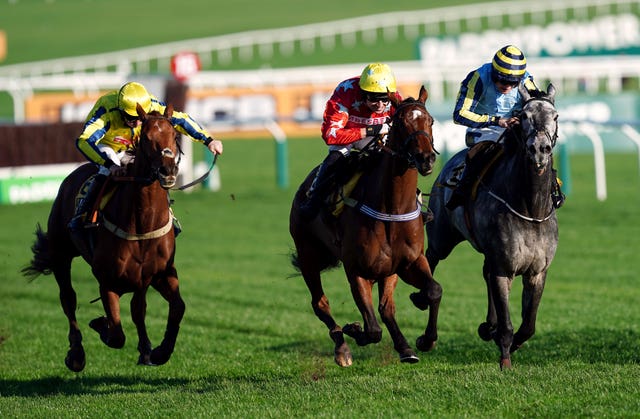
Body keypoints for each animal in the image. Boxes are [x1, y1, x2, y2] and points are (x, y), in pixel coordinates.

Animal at [22, 103, 182, 372]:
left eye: (174, 135)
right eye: (146, 138)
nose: (167, 171)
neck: (142, 224)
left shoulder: (154, 274)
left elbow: (159, 309)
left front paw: (157, 351)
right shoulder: (107, 280)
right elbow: (116, 333)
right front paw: (101, 324)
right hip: (60, 253)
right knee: (68, 299)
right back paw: (76, 354)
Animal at [288, 86, 442, 368]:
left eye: (431, 121)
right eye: (400, 123)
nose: (426, 159)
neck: (391, 209)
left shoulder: (410, 261)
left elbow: (433, 290)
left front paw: (425, 340)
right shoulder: (356, 269)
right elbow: (372, 330)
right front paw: (353, 330)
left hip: (387, 270)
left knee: (386, 308)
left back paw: (404, 347)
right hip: (308, 255)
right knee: (320, 303)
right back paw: (342, 347)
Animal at [428, 83, 556, 370]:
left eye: (555, 116)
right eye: (524, 116)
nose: (540, 149)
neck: (530, 209)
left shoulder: (537, 271)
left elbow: (528, 325)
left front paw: (507, 339)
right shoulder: (504, 267)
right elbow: (508, 322)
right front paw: (505, 358)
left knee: (484, 272)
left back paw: (488, 326)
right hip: (442, 236)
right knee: (430, 260)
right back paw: (426, 328)